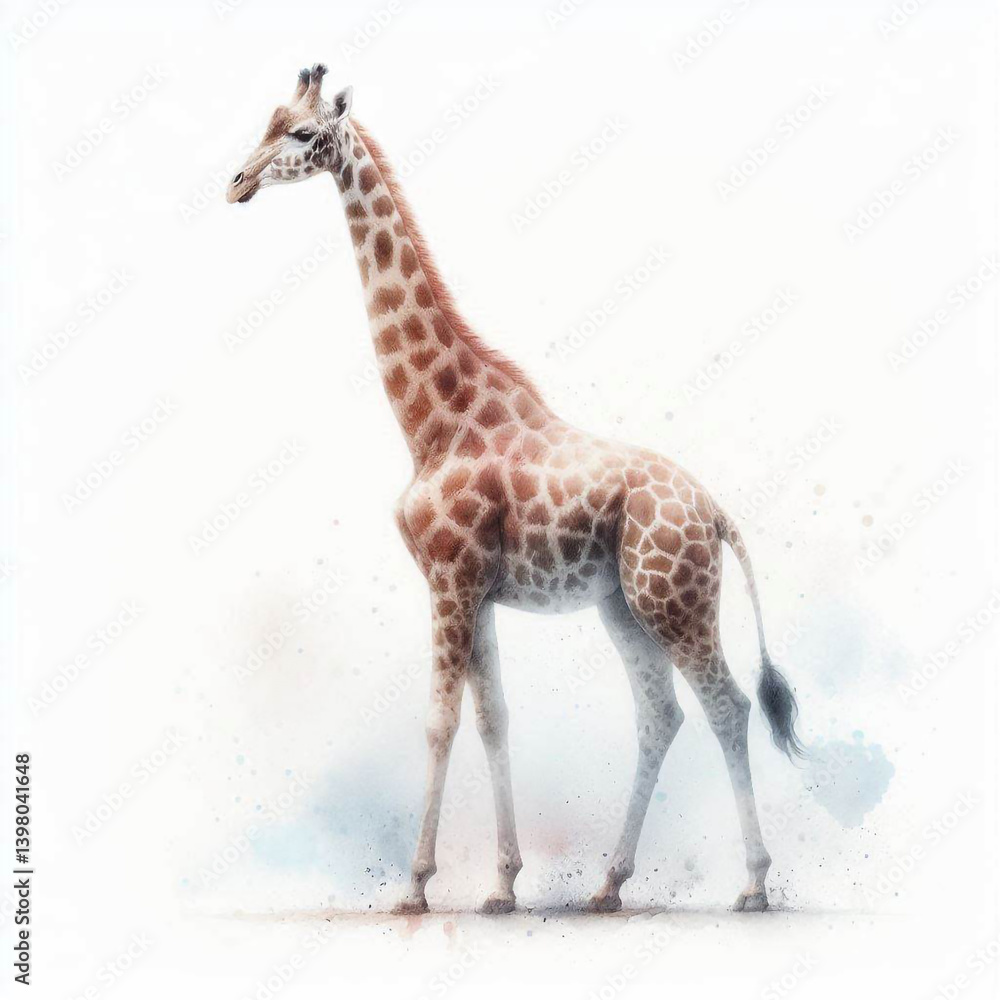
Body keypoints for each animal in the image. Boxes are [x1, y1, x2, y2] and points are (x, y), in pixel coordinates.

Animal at [227, 65, 805, 915]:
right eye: (264, 122)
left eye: (301, 134)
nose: (235, 183)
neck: (432, 423)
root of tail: (717, 513)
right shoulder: (474, 589)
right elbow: (494, 719)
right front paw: (502, 883)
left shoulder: (450, 580)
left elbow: (439, 722)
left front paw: (414, 885)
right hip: (623, 607)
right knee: (661, 714)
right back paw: (608, 883)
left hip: (675, 601)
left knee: (726, 706)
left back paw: (755, 885)